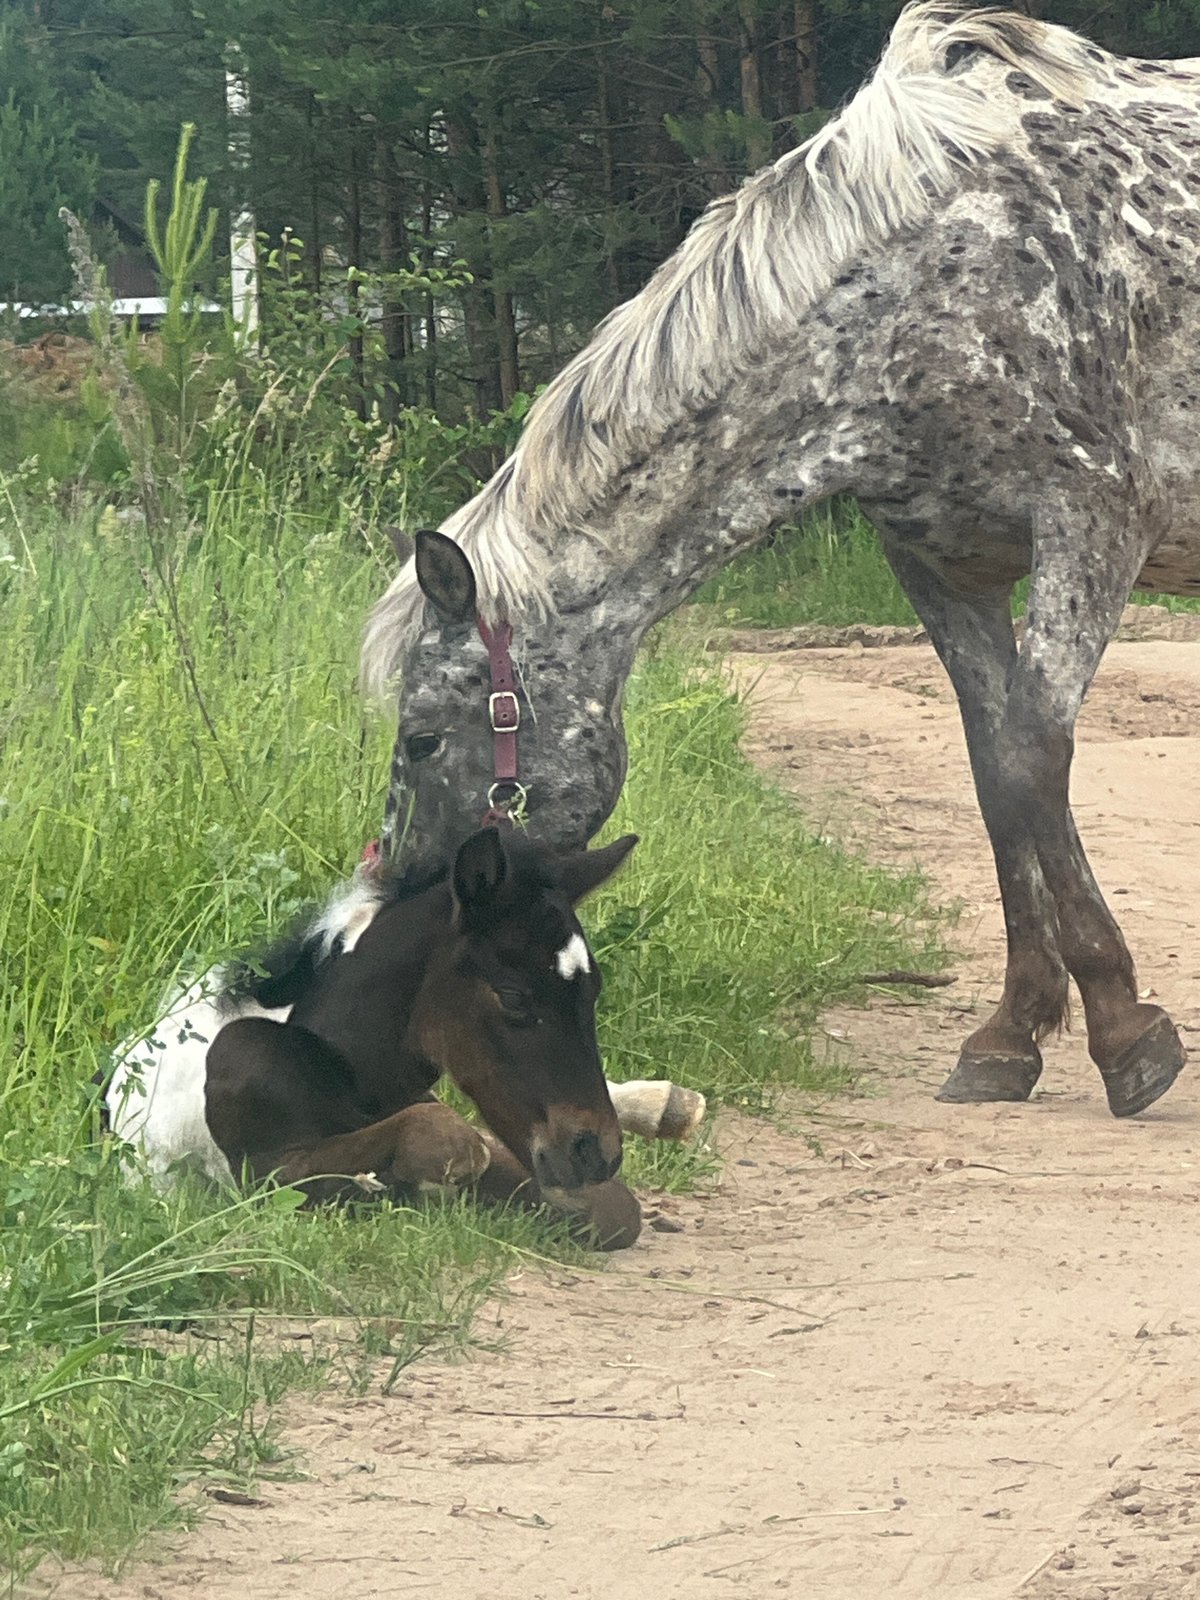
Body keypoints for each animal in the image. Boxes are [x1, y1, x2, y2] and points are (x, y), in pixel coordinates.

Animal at [104, 826, 706, 1251]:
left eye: (593, 990)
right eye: (513, 996)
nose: (594, 1153)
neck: (336, 1068)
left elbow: (614, 1213)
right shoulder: (265, 1179)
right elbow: (444, 1142)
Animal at [359, 1, 1200, 1120]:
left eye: (419, 739)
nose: (395, 922)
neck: (939, 276)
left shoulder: (1091, 524)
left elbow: (1034, 758)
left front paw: (1124, 1031)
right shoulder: (944, 568)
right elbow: (994, 774)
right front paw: (1008, 1035)